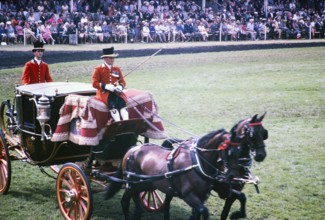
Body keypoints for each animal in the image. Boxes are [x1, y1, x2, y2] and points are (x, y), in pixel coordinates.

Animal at [104, 128, 243, 219]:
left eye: (242, 150)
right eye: (230, 152)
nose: (235, 177)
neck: (197, 163)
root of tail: (132, 149)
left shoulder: (202, 196)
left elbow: (197, 213)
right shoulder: (189, 195)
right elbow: (204, 211)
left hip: (145, 184)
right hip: (131, 183)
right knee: (124, 202)